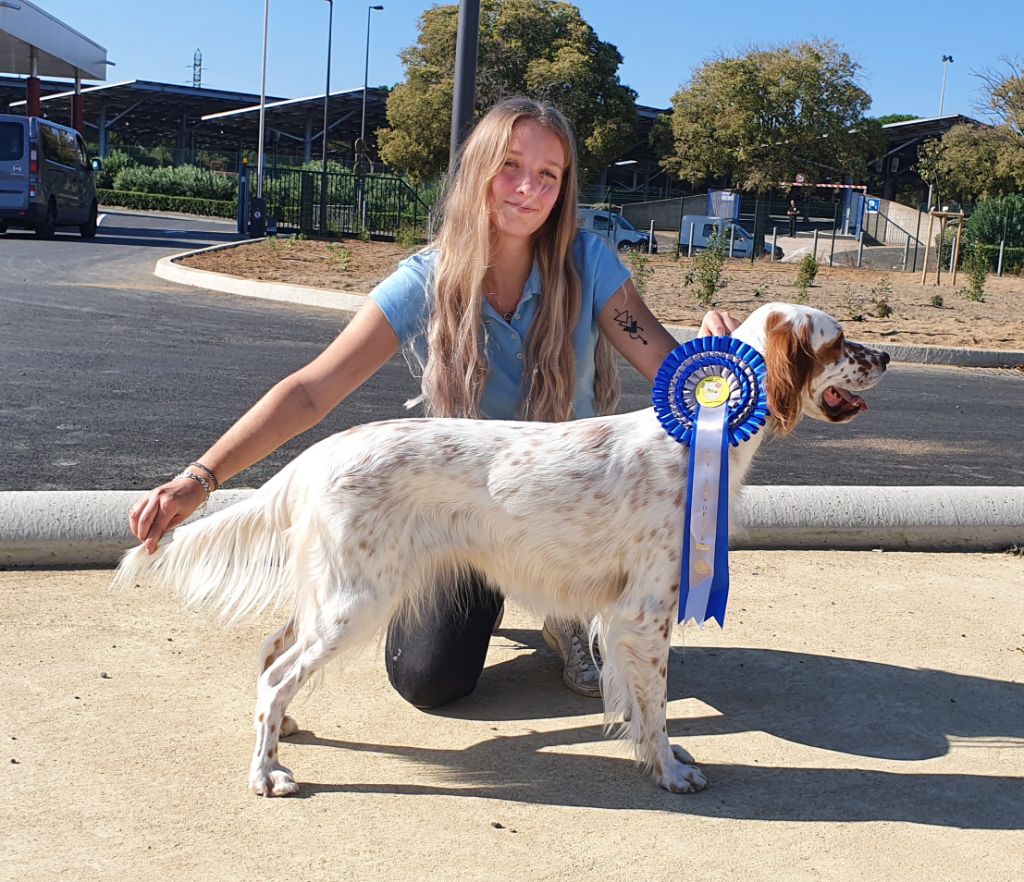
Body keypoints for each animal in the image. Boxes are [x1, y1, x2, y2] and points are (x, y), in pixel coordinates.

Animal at [116, 303, 888, 799]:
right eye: (839, 341)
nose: (885, 355)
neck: (701, 432)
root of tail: (320, 451)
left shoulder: (625, 618)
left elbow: (638, 709)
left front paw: (651, 759)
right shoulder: (643, 614)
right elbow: (658, 706)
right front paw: (670, 772)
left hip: (333, 594)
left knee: (272, 654)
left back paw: (287, 732)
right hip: (358, 602)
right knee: (277, 676)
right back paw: (265, 774)